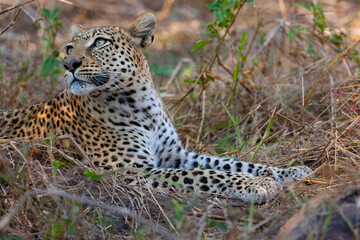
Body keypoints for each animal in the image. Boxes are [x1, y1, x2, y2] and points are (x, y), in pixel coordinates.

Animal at [0, 12, 312, 204]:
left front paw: (293, 171)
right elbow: (209, 174)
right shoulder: (132, 171)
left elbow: (231, 163)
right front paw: (257, 185)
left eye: (99, 42)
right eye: (68, 48)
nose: (69, 64)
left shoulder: (176, 155)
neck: (141, 102)